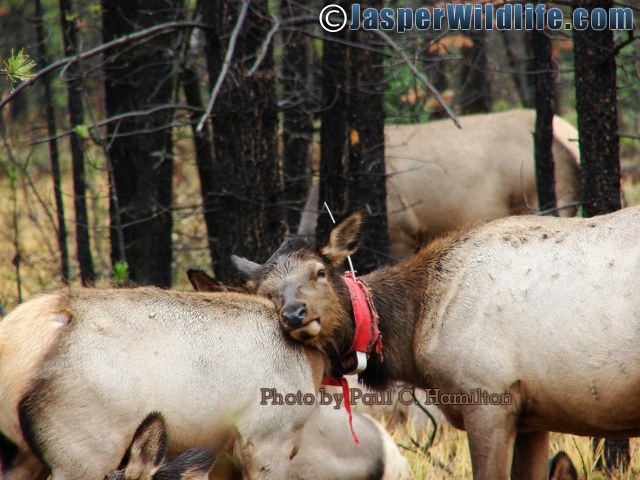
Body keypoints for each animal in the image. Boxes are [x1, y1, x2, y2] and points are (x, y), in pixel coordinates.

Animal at [232, 207, 640, 480]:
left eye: (318, 272)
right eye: (266, 292)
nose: (294, 313)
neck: (414, 334)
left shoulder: (488, 397)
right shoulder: (534, 415)